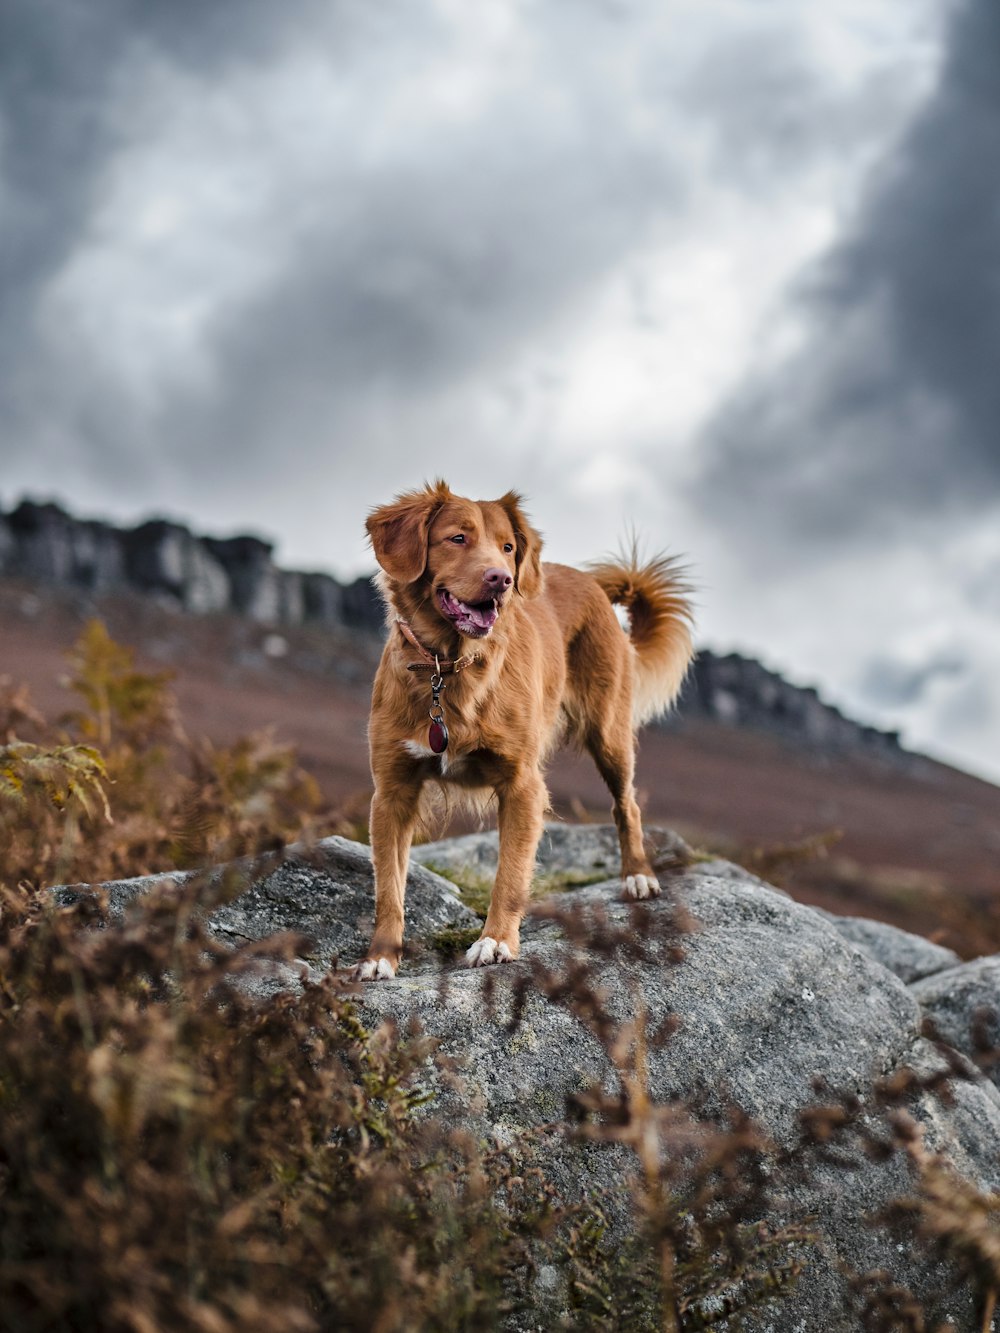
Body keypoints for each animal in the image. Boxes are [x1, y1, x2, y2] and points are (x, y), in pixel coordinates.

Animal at [357, 482, 693, 981]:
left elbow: (510, 874)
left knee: (626, 803)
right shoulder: (392, 792)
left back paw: (638, 875)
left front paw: (496, 941)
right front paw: (380, 958)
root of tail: (592, 584)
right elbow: (389, 887)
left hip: (609, 732)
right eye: (457, 538)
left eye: (508, 548)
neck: (448, 667)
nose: (502, 579)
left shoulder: (522, 785)